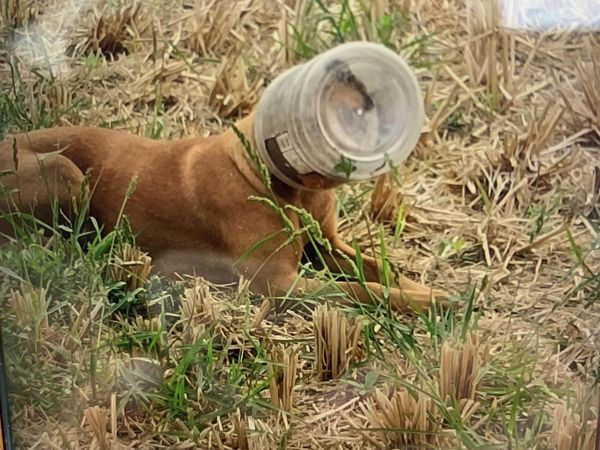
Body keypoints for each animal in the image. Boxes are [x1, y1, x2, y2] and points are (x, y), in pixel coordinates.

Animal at [0, 114, 446, 322]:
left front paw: (430, 293)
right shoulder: (279, 284)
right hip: (65, 171)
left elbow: (383, 270)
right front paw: (430, 303)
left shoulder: (327, 247)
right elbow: (360, 291)